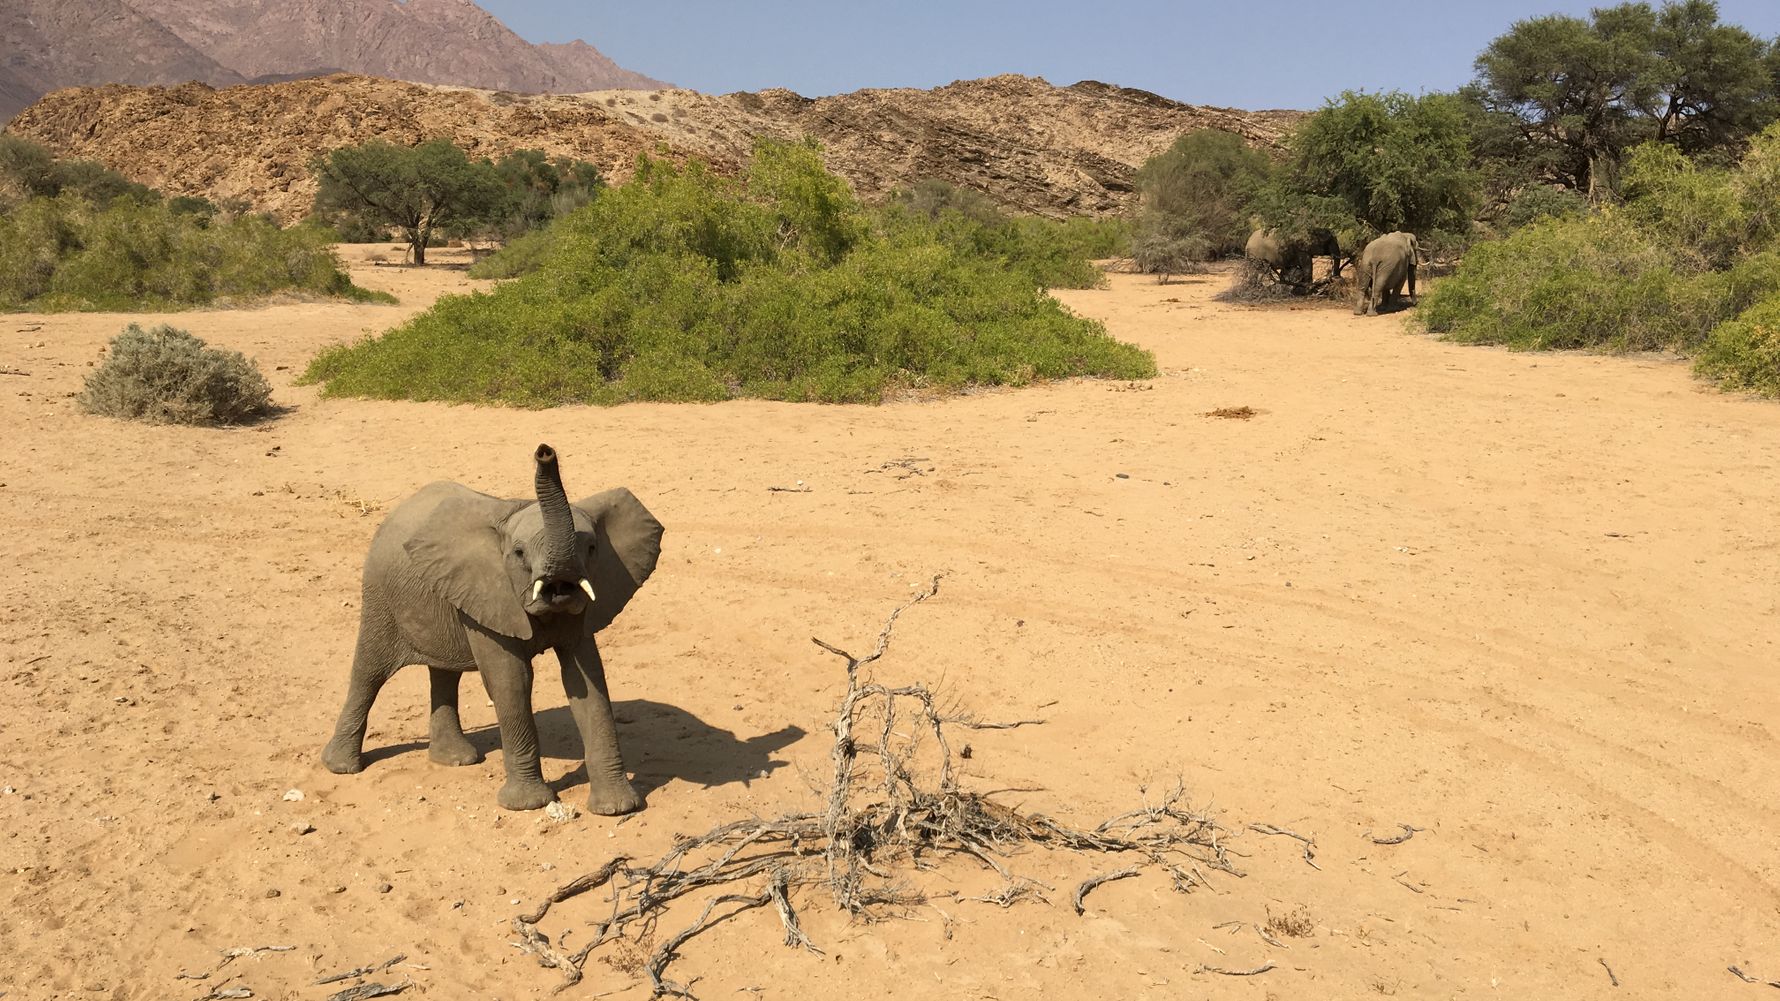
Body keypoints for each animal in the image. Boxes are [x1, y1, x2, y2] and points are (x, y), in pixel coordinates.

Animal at [321, 444, 664, 814]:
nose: (544, 452)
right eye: (518, 553)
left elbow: (586, 680)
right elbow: (511, 680)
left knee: (444, 673)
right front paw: (528, 805)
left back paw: (456, 760)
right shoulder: (488, 593)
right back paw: (341, 766)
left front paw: (618, 808)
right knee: (368, 672)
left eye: (591, 549)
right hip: (380, 596)